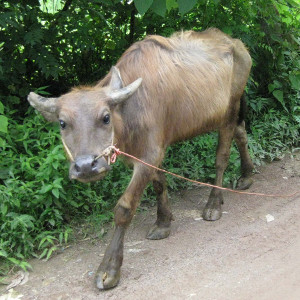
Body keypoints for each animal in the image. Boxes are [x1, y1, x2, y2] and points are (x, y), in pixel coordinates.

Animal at [27, 27, 253, 288]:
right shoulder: (149, 154)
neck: (129, 111)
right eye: (63, 123)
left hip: (228, 112)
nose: (86, 167)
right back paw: (246, 176)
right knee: (241, 133)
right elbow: (159, 183)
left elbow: (124, 208)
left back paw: (214, 203)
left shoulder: (149, 155)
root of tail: (235, 43)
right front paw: (164, 222)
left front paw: (109, 269)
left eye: (105, 117)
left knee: (222, 158)